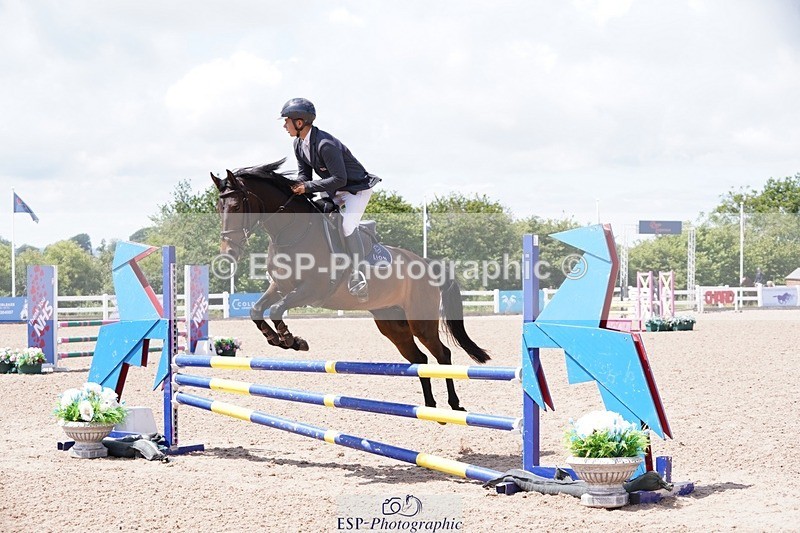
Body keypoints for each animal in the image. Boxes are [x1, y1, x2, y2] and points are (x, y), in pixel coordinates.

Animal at [211, 159, 490, 411]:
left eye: (237, 206)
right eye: (218, 207)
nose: (228, 254)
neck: (291, 232)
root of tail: (428, 264)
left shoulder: (311, 290)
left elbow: (278, 309)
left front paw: (293, 340)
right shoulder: (280, 286)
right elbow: (256, 310)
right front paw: (275, 338)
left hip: (421, 321)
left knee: (442, 355)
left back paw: (454, 405)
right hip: (391, 323)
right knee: (419, 360)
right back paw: (431, 406)